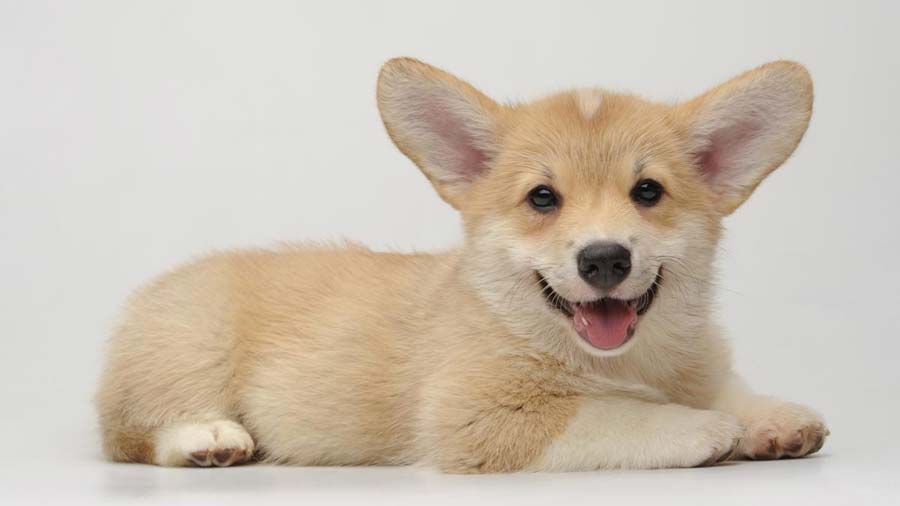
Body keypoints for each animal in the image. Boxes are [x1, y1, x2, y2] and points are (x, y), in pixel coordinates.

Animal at [98, 57, 828, 472]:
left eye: (647, 192)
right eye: (542, 198)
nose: (604, 258)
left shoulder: (698, 366)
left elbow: (727, 389)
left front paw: (772, 420)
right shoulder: (480, 419)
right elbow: (617, 415)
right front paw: (706, 428)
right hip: (191, 346)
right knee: (128, 431)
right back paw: (209, 438)